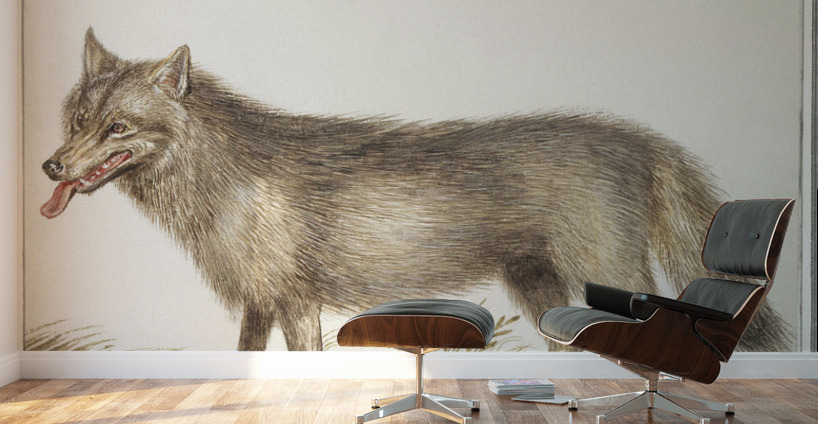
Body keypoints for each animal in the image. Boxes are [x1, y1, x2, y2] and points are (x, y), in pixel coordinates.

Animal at [41, 28, 790, 351]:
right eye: (76, 121)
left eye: (116, 127)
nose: (49, 168)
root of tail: (641, 138)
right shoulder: (260, 305)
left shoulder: (299, 305)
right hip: (546, 294)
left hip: (606, 277)